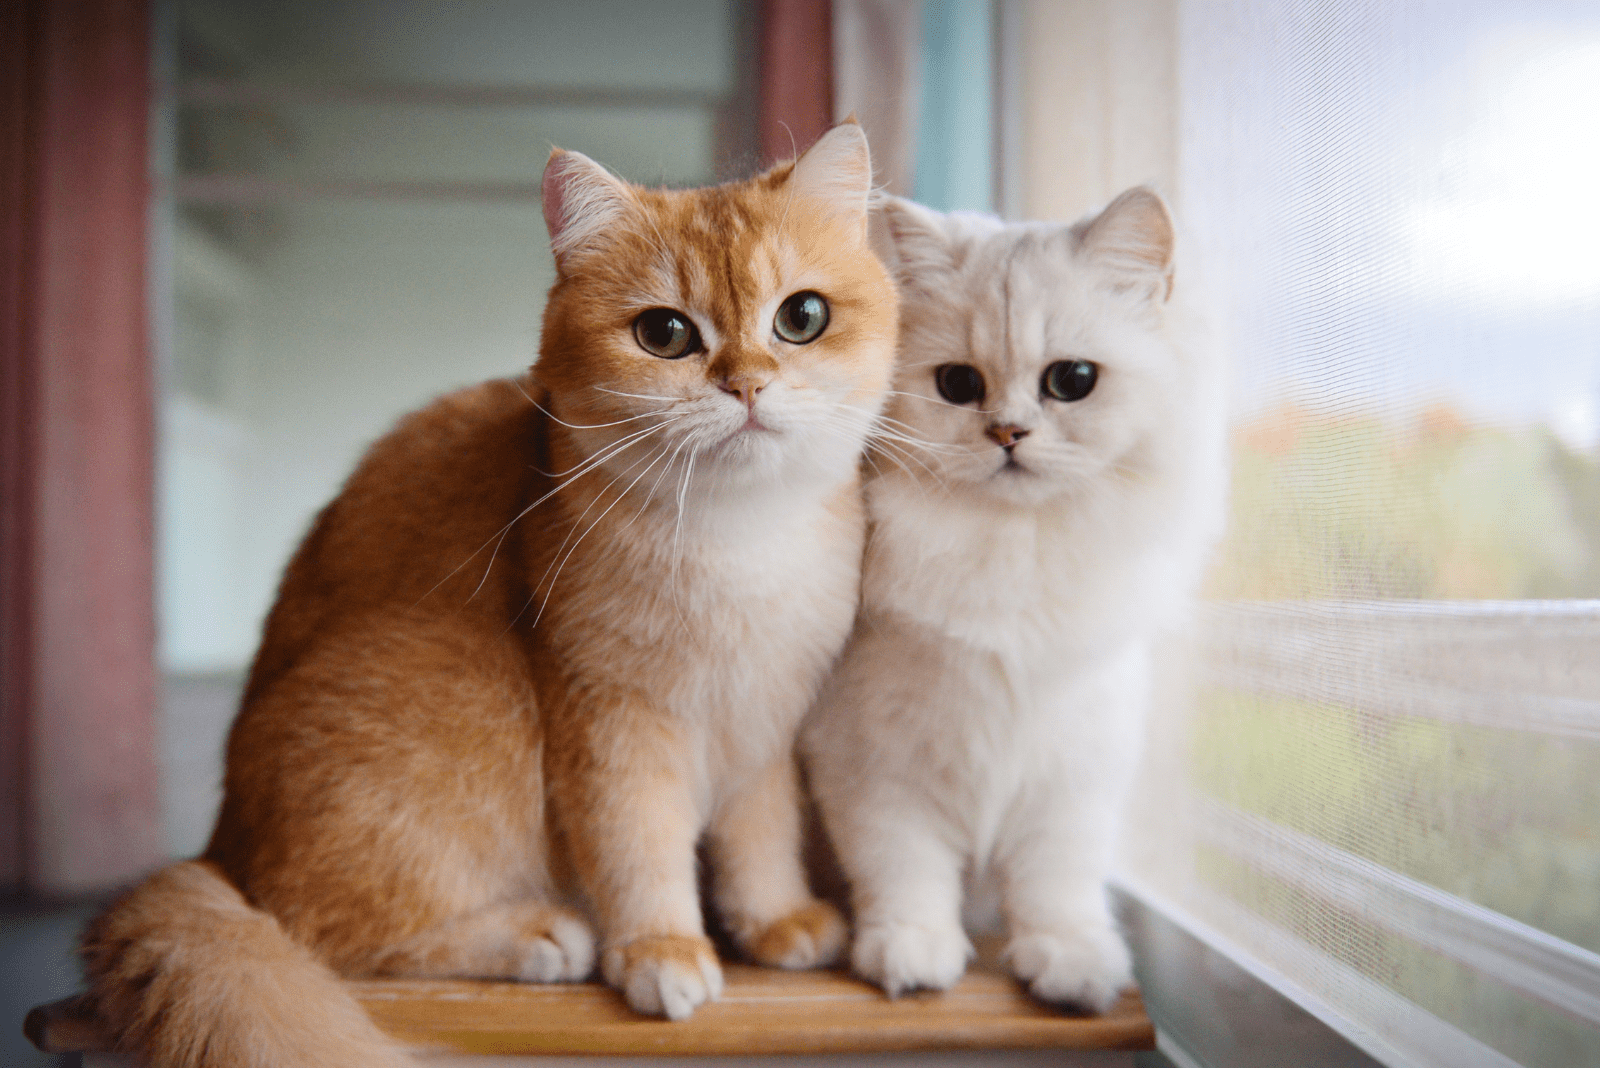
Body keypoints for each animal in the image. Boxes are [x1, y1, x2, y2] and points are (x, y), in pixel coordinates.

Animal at [81, 120, 902, 1061]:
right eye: (664, 333)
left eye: (801, 317)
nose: (747, 384)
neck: (743, 543)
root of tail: (217, 850)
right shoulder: (607, 723)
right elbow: (639, 846)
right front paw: (662, 947)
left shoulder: (762, 721)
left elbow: (761, 834)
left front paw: (774, 919)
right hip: (464, 684)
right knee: (310, 928)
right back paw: (531, 935)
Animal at [800, 187, 1222, 1016]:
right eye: (958, 385)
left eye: (1073, 380)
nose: (1008, 434)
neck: (1010, 551)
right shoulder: (874, 766)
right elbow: (903, 868)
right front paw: (914, 956)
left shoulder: (1070, 772)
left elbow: (1057, 883)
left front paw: (1071, 966)